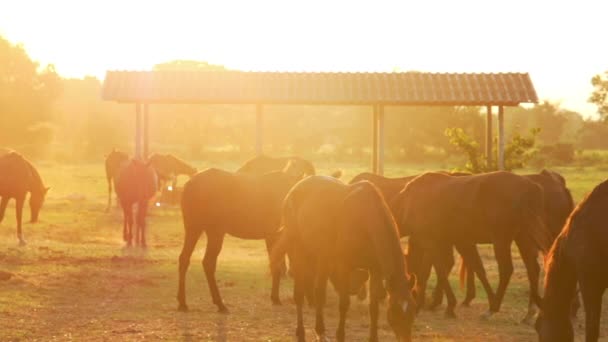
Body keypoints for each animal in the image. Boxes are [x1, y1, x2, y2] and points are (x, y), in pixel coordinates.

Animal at [178, 165, 306, 312]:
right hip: (214, 232)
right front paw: (275, 298)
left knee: (184, 258)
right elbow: (277, 265)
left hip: (194, 228)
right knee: (208, 263)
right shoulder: (273, 235)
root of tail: (189, 184)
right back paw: (220, 303)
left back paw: (182, 302)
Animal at [270, 176, 418, 342]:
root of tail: (293, 190)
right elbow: (344, 303)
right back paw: (301, 332)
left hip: (322, 257)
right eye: (395, 310)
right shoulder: (344, 266)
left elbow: (373, 307)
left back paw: (320, 331)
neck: (365, 219)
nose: (405, 338)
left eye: (413, 309)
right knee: (299, 294)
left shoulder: (375, 270)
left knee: (319, 293)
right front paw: (340, 335)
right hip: (300, 251)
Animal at [392, 172, 552, 320]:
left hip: (501, 241)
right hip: (523, 239)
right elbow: (475, 268)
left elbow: (434, 272)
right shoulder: (454, 242)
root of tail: (529, 186)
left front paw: (438, 305)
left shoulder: (432, 243)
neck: (410, 201)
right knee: (533, 269)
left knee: (506, 270)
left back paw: (492, 309)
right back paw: (529, 312)